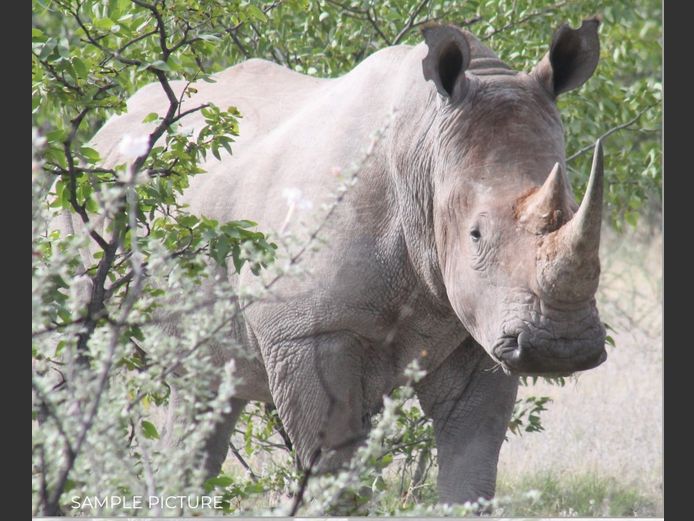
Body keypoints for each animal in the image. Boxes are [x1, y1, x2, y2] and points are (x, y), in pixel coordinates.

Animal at [86, 18, 607, 505]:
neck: (424, 149)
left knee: (207, 384)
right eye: (475, 235)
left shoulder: (481, 325)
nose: (562, 347)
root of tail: (110, 123)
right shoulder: (306, 330)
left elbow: (472, 461)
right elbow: (333, 468)